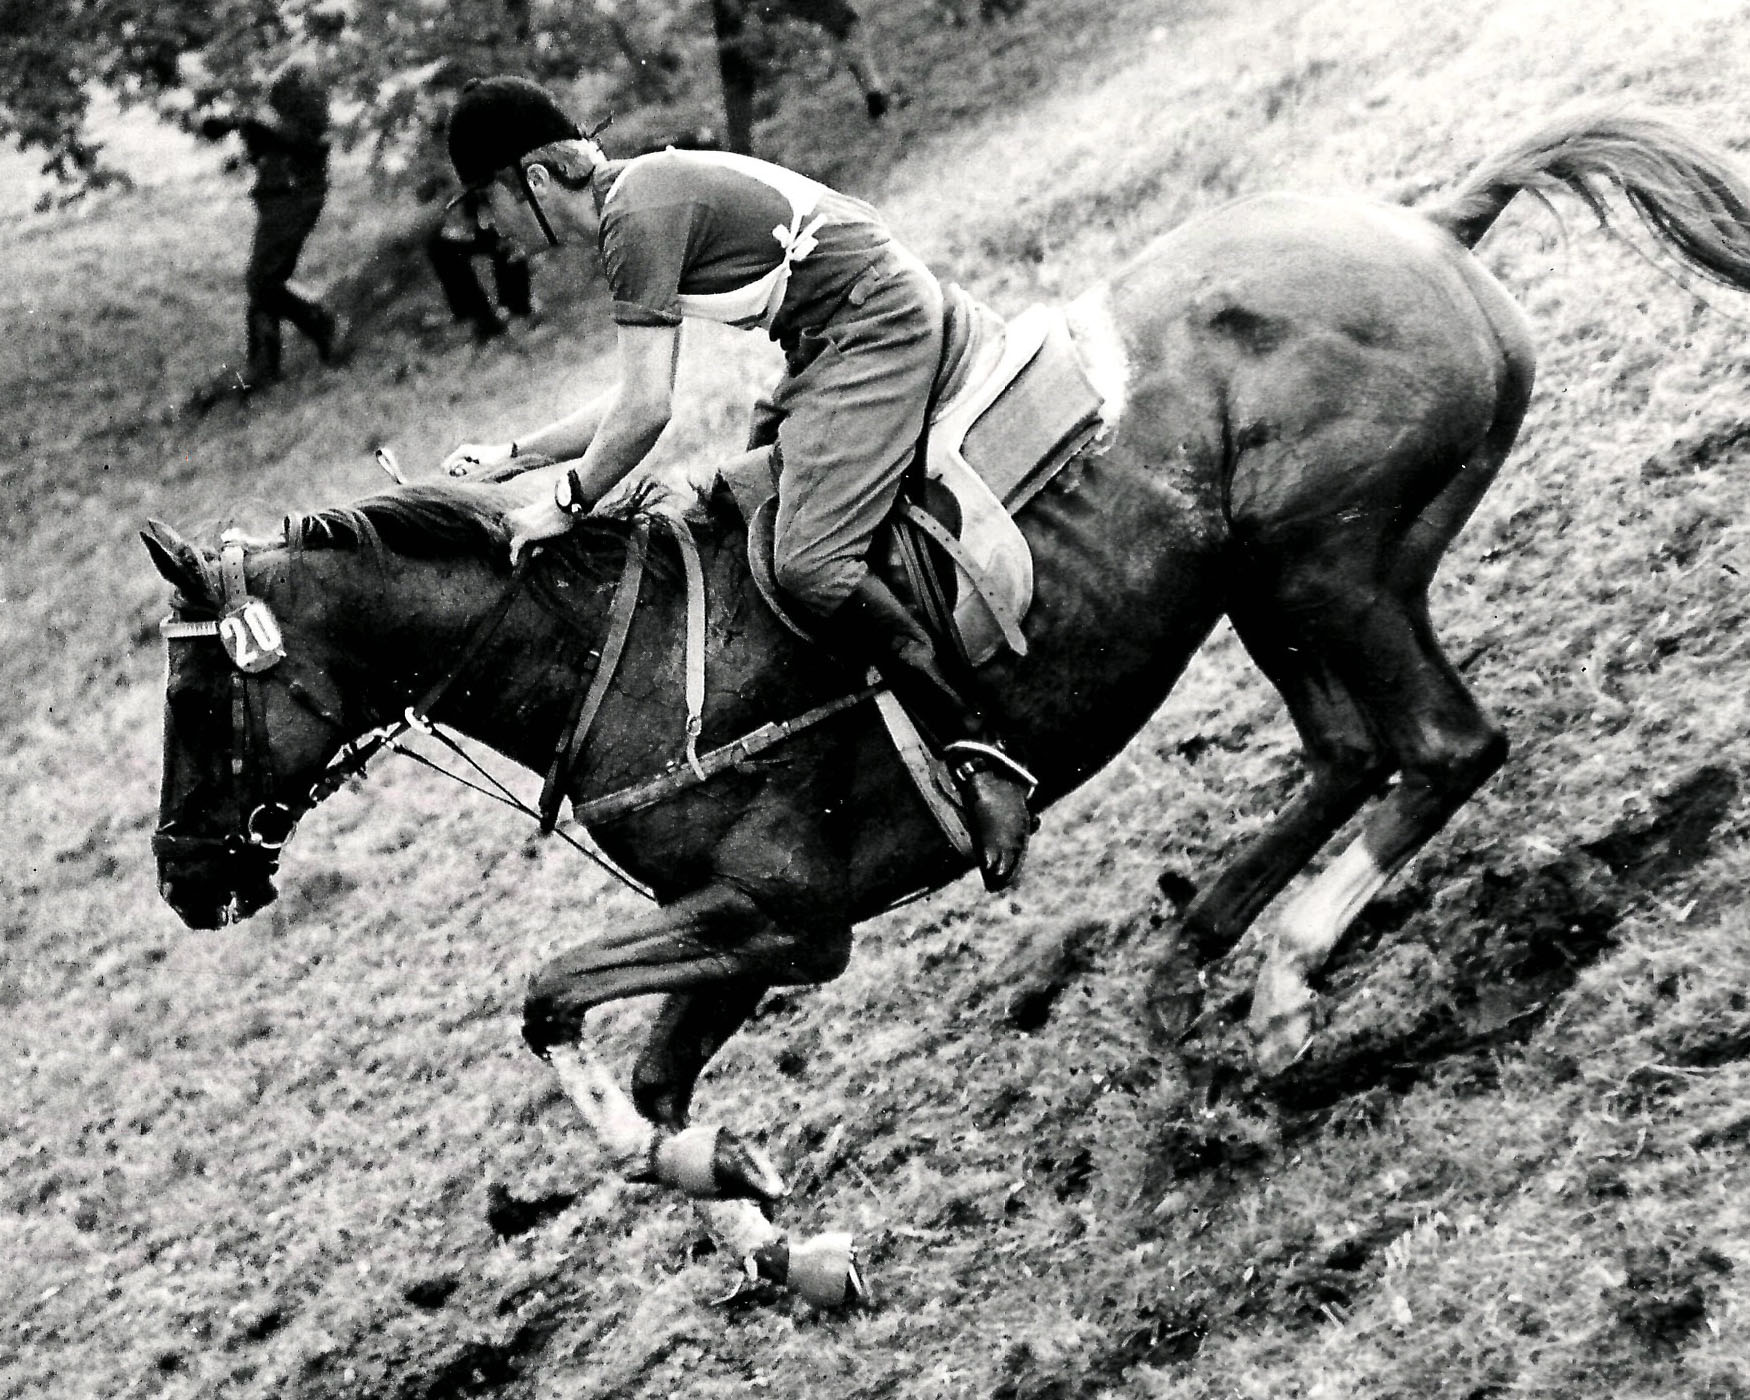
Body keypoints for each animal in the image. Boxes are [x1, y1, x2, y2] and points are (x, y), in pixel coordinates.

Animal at [143, 109, 1750, 1302]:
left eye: (201, 701)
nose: (181, 880)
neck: (615, 651)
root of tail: (1428, 224)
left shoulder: (781, 915)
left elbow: (550, 1004)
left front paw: (736, 1189)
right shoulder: (761, 941)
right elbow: (649, 1091)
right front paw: (777, 1235)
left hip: (1326, 563)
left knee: (1439, 747)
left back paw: (1283, 979)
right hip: (1264, 585)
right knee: (1353, 756)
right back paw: (1186, 971)